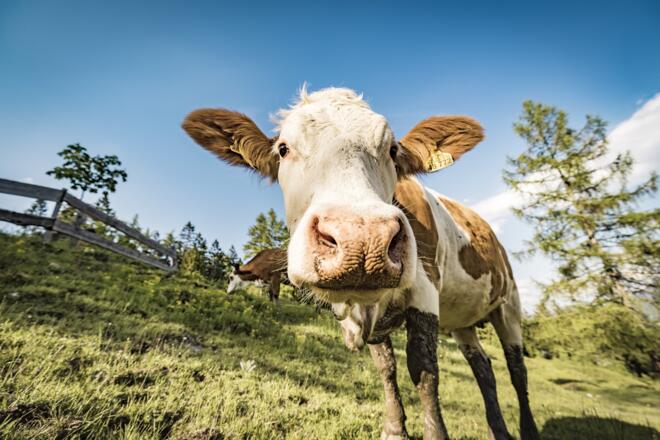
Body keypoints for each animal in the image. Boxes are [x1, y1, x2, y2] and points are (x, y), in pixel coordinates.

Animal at [183, 87, 539, 440]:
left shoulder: (425, 293)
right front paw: (394, 429)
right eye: (283, 149)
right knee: (484, 368)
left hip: (509, 304)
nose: (363, 239)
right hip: (463, 321)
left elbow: (424, 371)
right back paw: (498, 430)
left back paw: (528, 429)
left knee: (517, 370)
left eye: (393, 150)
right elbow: (386, 367)